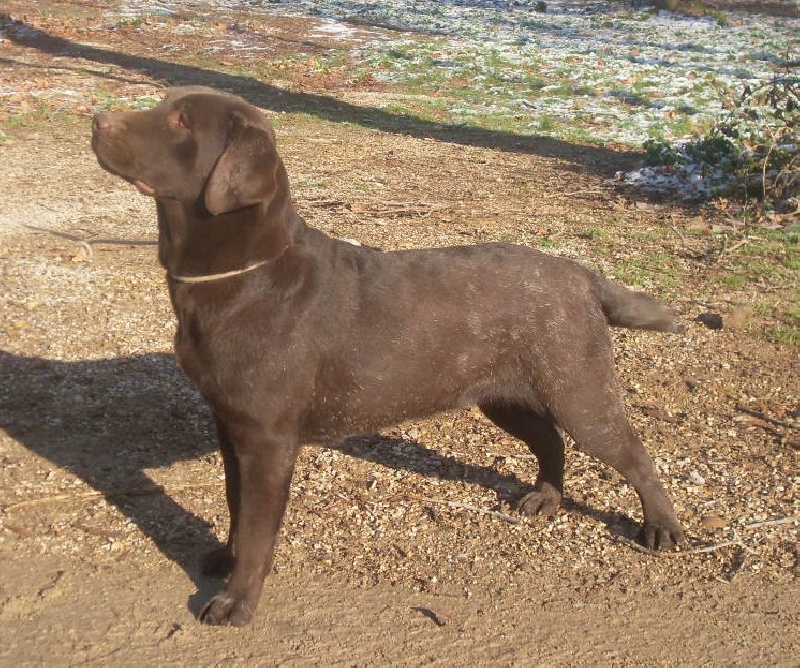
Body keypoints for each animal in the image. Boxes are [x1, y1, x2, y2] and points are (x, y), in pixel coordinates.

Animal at [90, 87, 684, 628]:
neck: (245, 277)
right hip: (505, 397)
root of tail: (582, 275)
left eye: (182, 121)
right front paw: (223, 558)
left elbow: (259, 528)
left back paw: (662, 528)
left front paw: (236, 602)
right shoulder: (228, 423)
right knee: (551, 442)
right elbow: (235, 505)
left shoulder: (267, 438)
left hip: (578, 390)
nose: (98, 118)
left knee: (635, 455)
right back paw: (544, 499)